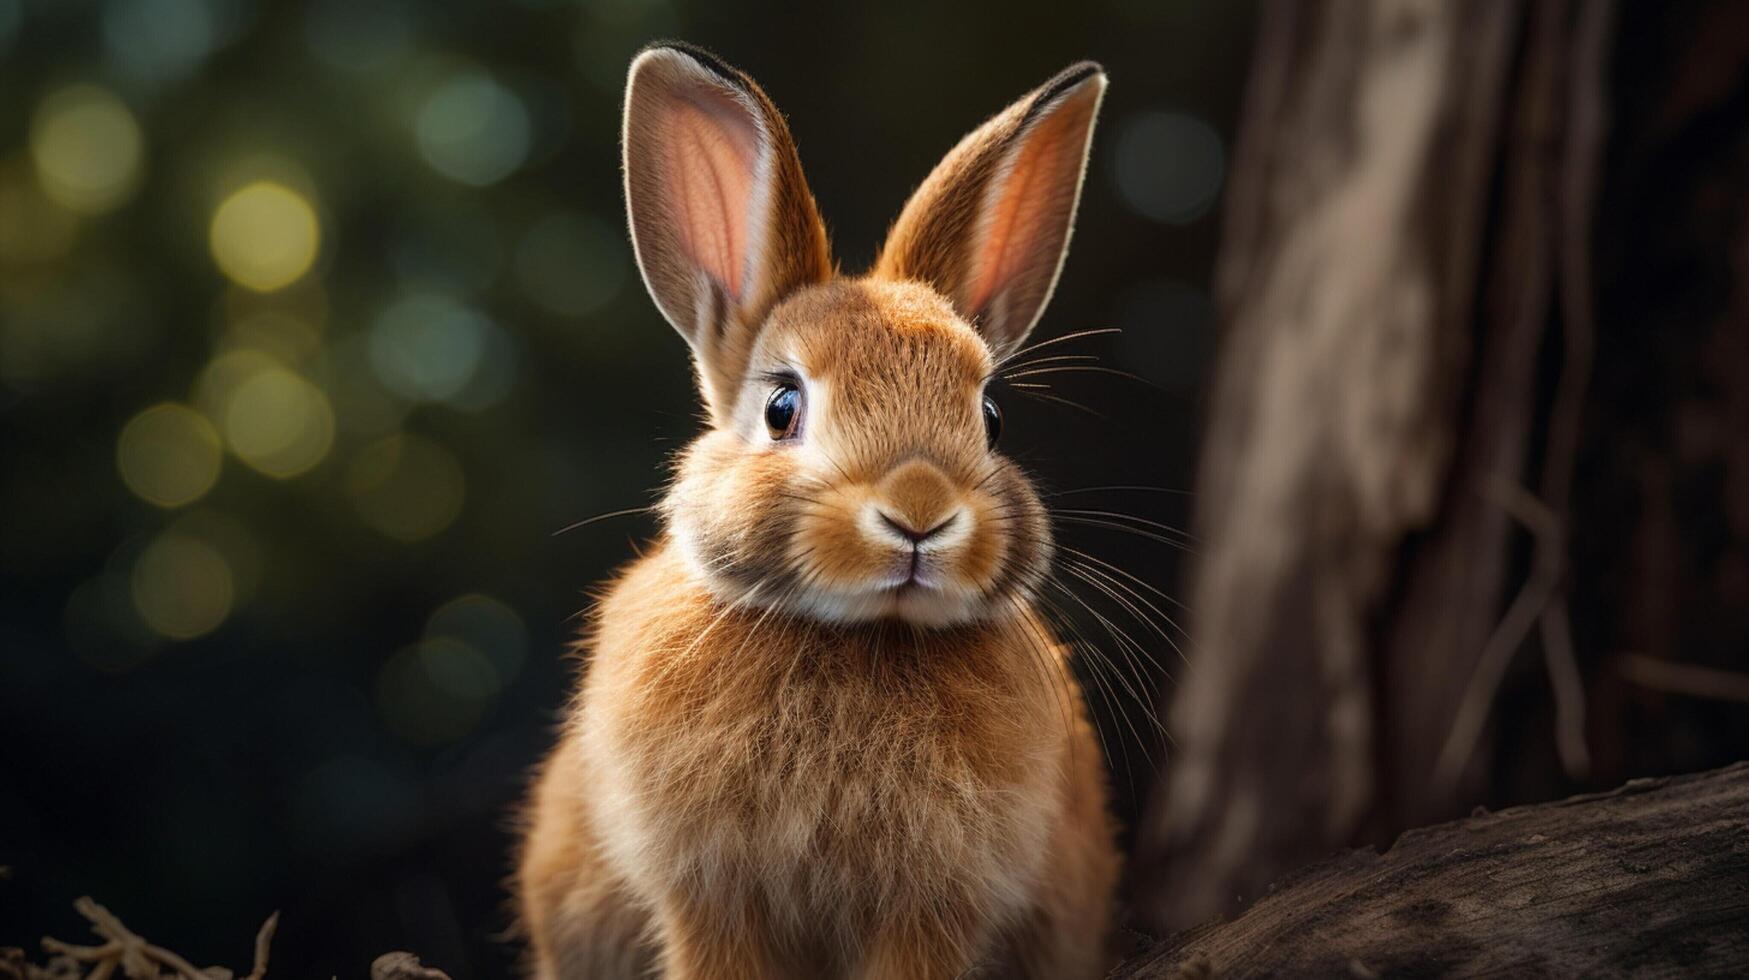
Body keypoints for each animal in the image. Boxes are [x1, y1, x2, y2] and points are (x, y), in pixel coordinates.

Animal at [517, 42, 1119, 973]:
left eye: (989, 416)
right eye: (781, 408)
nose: (918, 511)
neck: (861, 634)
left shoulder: (935, 903)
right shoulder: (710, 894)